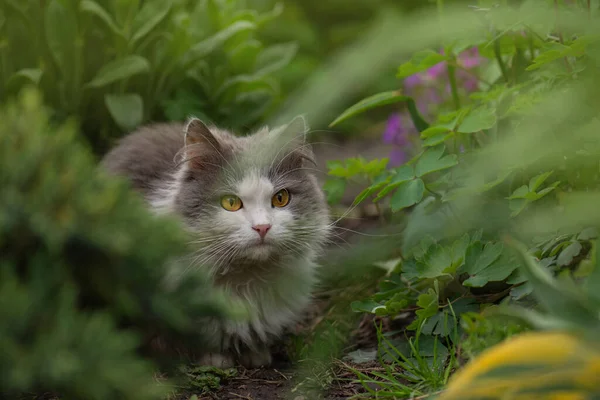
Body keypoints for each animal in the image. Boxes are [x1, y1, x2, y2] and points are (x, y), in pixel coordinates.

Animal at [101, 115, 330, 368]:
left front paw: (256, 354)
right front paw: (215, 359)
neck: (245, 279)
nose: (262, 227)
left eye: (280, 198)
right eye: (230, 202)